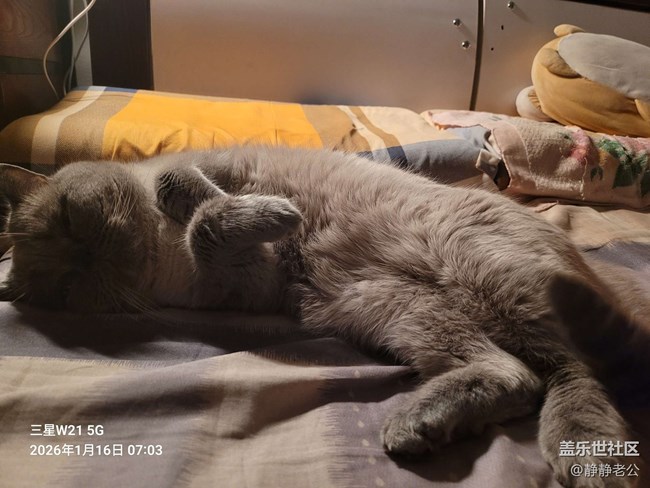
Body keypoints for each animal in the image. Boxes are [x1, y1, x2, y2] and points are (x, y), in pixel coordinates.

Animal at [0, 146, 646, 488]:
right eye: (67, 284)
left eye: (69, 216)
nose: (84, 258)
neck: (163, 249)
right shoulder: (245, 278)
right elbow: (211, 224)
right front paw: (265, 215)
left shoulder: (213, 172)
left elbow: (185, 187)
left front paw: (257, 208)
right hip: (402, 309)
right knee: (522, 375)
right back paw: (424, 424)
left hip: (489, 279)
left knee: (572, 370)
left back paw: (585, 456)